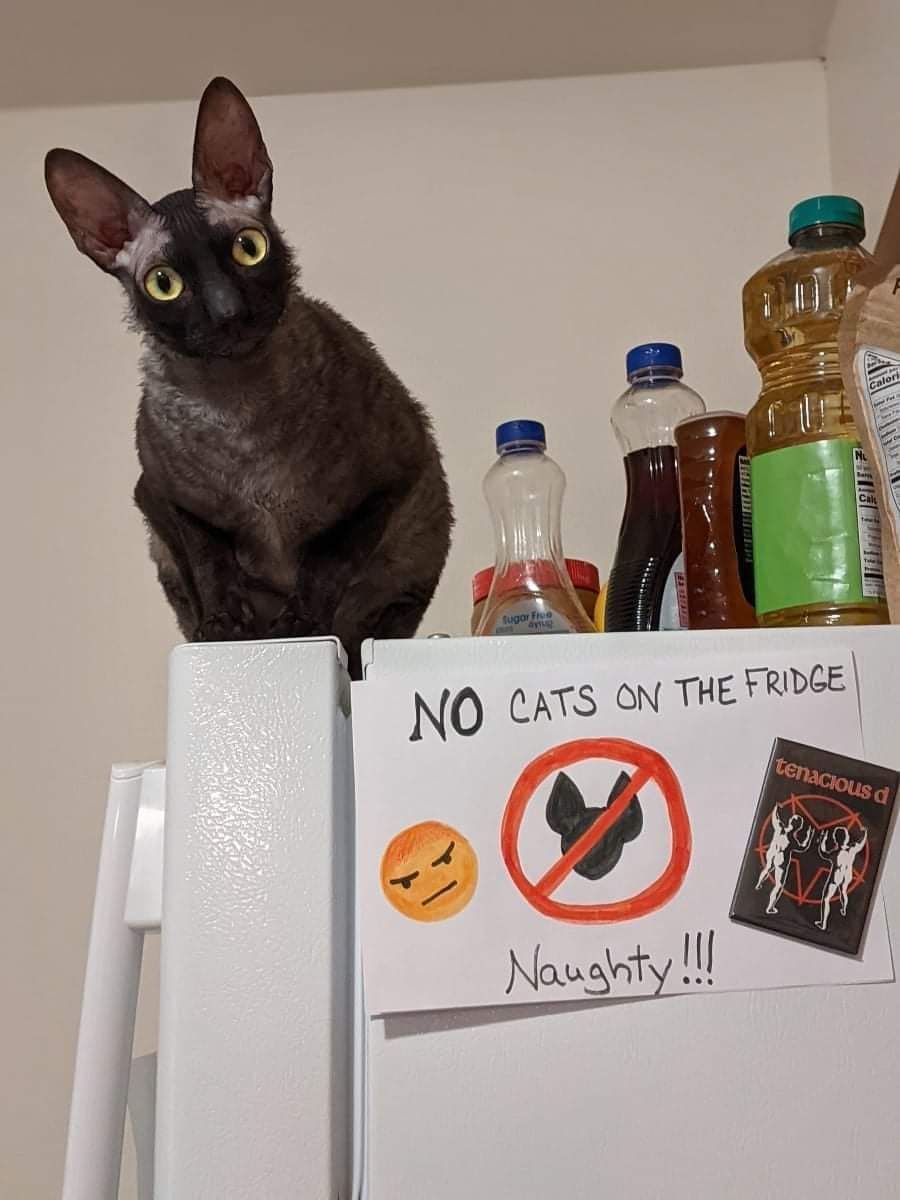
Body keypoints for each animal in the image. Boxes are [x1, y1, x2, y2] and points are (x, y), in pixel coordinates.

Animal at [44, 76, 452, 678]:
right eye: (164, 283)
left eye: (248, 249)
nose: (226, 311)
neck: (239, 414)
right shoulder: (162, 498)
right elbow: (210, 563)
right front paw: (225, 627)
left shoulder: (394, 475)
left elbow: (328, 560)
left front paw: (300, 624)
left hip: (414, 556)